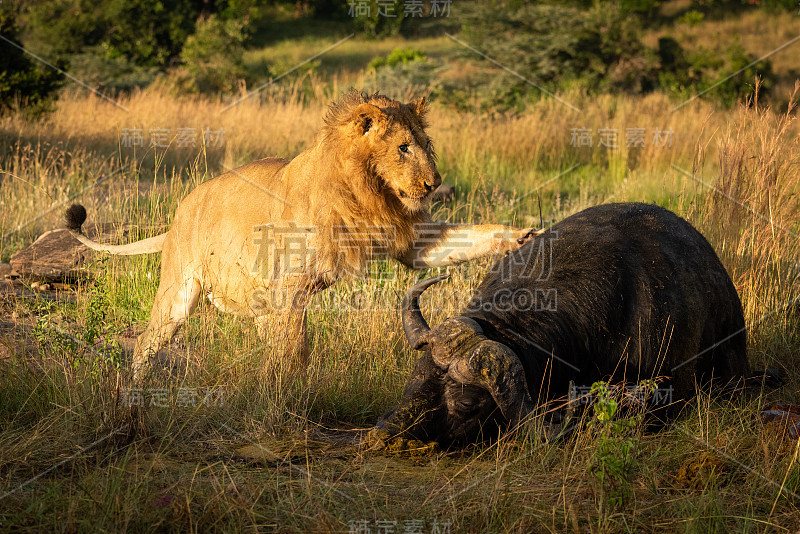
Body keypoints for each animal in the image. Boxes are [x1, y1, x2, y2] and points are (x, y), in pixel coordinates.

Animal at [64, 90, 536, 378]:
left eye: (425, 145)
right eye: (403, 147)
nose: (433, 184)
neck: (365, 192)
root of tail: (178, 215)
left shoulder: (409, 244)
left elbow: (467, 239)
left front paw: (524, 235)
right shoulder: (288, 287)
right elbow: (292, 354)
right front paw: (283, 402)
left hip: (256, 301)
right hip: (180, 293)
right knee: (147, 343)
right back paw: (133, 394)